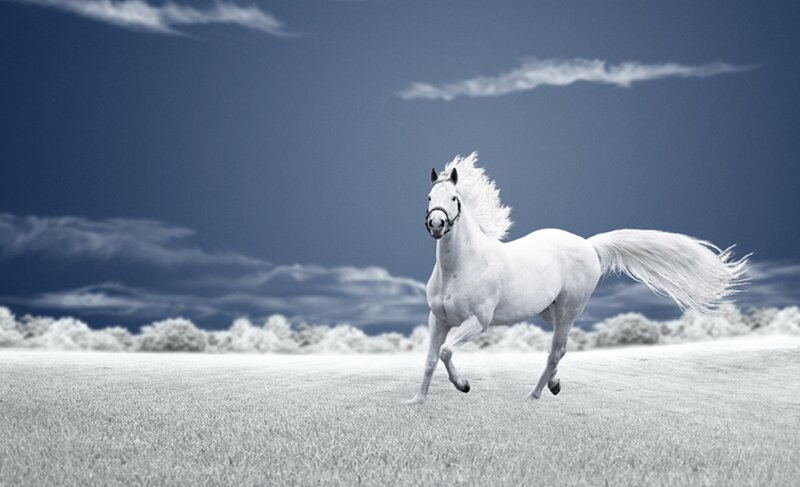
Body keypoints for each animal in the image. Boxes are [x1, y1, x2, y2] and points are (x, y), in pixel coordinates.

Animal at [407, 152, 748, 403]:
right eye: (428, 197)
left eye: (454, 198)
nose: (437, 224)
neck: (460, 267)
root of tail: (589, 245)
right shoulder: (438, 320)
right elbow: (430, 358)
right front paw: (418, 401)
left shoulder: (478, 321)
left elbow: (446, 351)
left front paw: (463, 385)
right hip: (551, 310)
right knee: (562, 348)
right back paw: (553, 385)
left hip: (569, 308)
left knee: (555, 350)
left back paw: (534, 395)